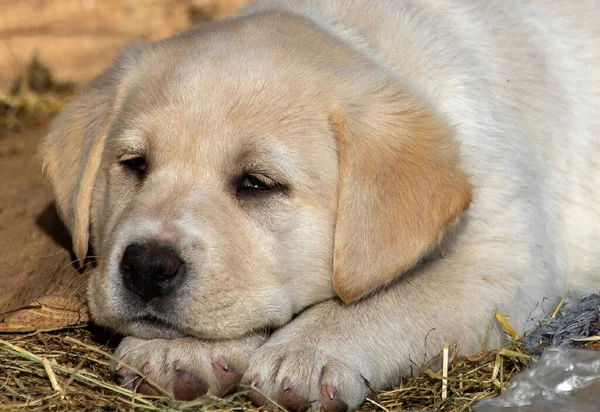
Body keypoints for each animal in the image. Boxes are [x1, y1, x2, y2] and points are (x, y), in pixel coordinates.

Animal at [42, 0, 600, 410]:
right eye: (134, 165)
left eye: (257, 183)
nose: (146, 267)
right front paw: (174, 348)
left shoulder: (507, 256)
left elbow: (393, 296)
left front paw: (309, 353)